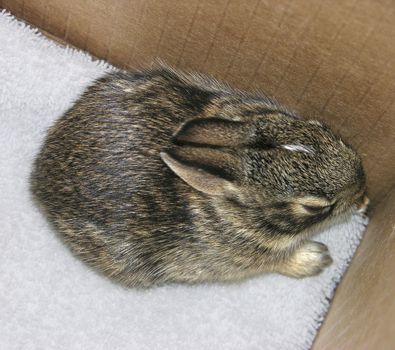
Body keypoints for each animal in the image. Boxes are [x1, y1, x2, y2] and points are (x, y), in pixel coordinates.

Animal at [31, 63, 368, 288]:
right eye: (313, 207)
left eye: (320, 127)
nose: (364, 197)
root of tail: (37, 176)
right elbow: (279, 261)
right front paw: (317, 259)